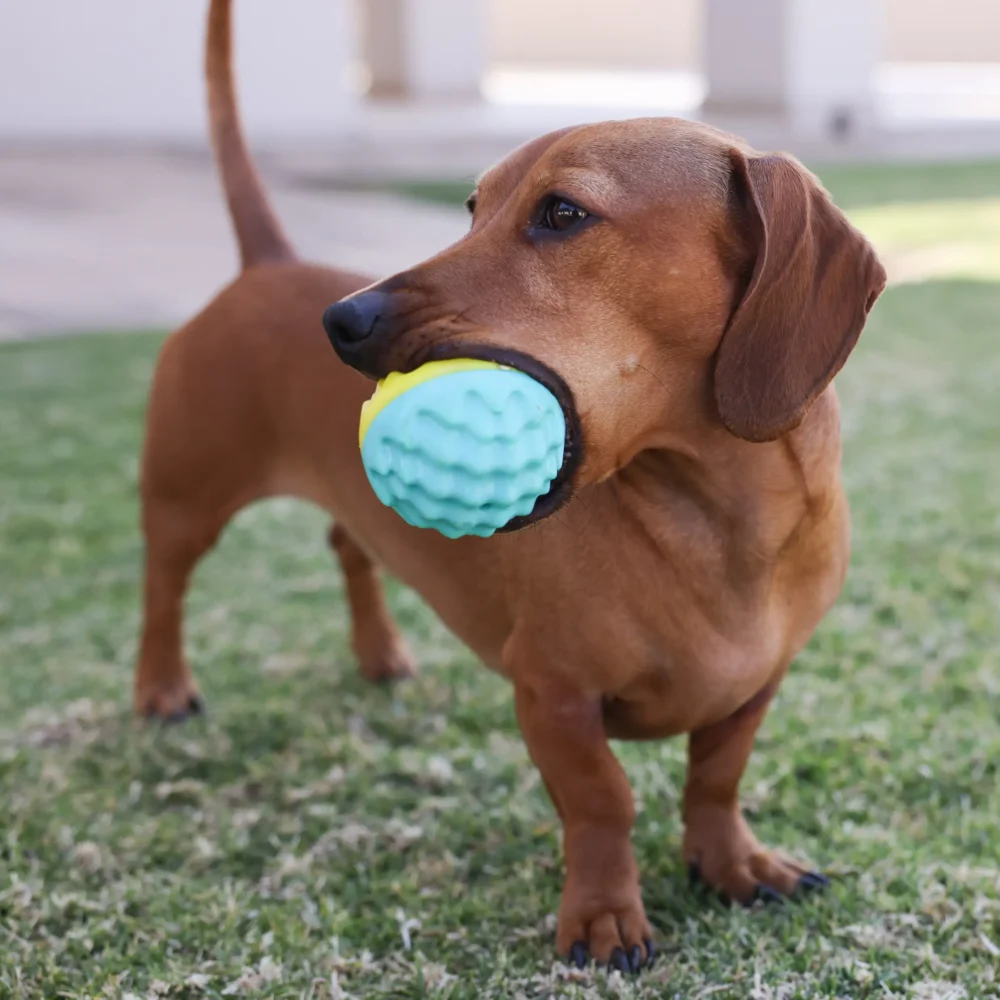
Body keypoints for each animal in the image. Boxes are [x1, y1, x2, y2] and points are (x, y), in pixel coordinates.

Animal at [137, 0, 888, 972]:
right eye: (471, 208)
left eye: (562, 213)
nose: (342, 322)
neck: (709, 521)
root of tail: (268, 264)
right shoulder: (551, 694)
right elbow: (603, 800)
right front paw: (604, 916)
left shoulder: (754, 689)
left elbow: (716, 780)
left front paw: (734, 863)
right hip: (185, 499)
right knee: (163, 589)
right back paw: (161, 689)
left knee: (350, 544)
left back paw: (379, 655)